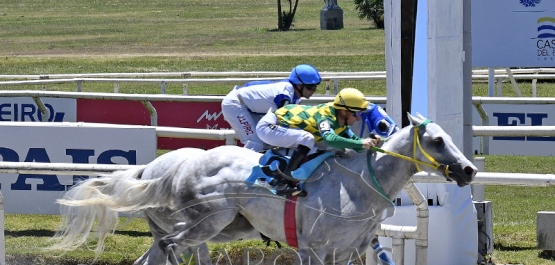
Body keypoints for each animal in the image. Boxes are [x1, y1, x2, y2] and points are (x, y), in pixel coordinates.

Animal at [47, 112, 478, 262]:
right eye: (437, 140)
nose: (469, 170)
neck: (357, 188)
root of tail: (162, 170)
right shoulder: (314, 248)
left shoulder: (348, 251)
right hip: (209, 220)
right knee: (172, 246)